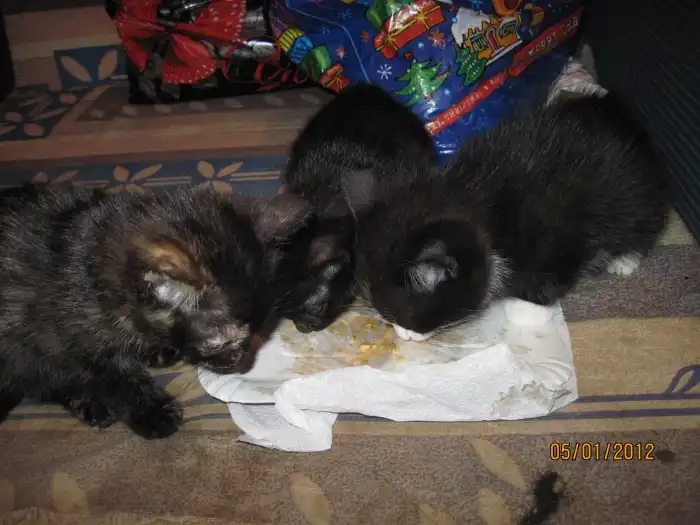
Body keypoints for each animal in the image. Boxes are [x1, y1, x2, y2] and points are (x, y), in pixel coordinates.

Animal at [0, 185, 311, 438]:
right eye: (216, 341)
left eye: (261, 330)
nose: (240, 361)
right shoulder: (75, 338)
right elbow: (116, 379)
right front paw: (152, 413)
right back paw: (91, 404)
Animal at [345, 93, 669, 339]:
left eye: (407, 316)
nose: (404, 335)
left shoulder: (560, 233)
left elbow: (555, 273)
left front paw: (529, 309)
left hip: (635, 192)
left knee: (646, 222)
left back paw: (625, 259)